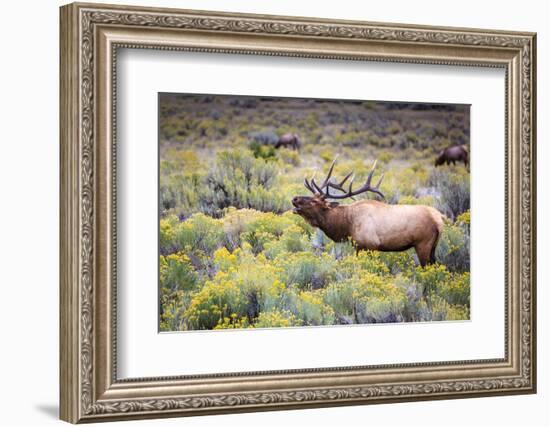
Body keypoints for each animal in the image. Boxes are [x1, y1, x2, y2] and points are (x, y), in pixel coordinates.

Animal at [292, 160, 446, 268]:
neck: (347, 225)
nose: (295, 199)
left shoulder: (369, 245)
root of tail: (439, 219)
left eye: (314, 201)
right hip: (433, 246)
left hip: (423, 244)